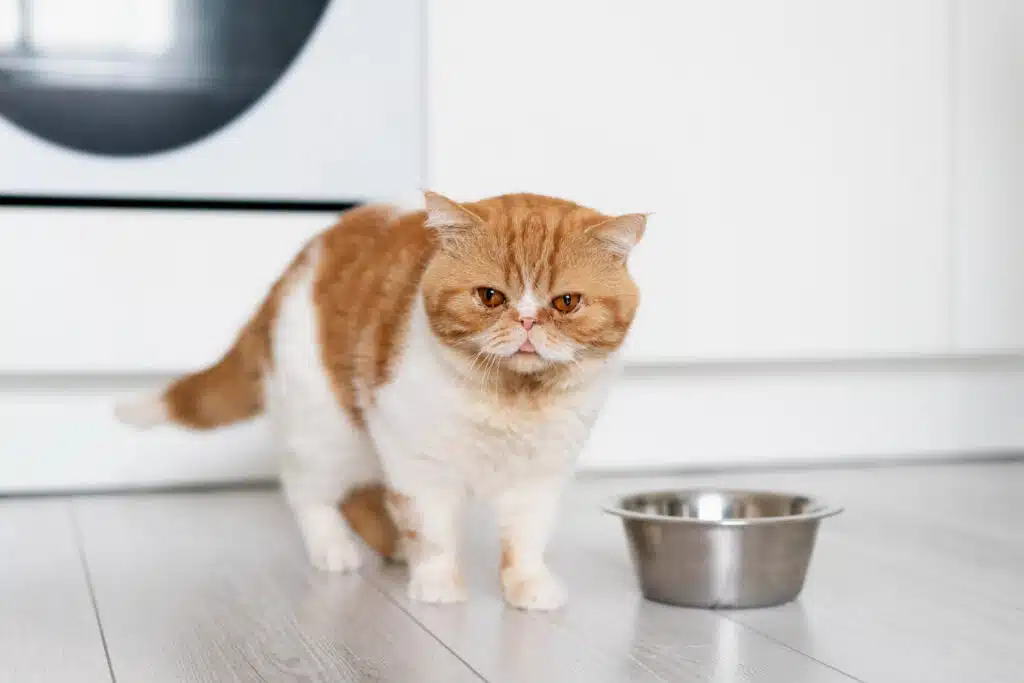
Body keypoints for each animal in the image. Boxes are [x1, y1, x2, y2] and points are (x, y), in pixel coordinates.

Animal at [116, 189, 643, 610]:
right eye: (490, 296)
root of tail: (299, 261)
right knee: (308, 490)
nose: (528, 323)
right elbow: (431, 528)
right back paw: (335, 549)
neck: (511, 397)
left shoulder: (539, 475)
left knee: (361, 496)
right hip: (330, 431)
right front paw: (437, 583)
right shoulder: (418, 462)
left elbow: (525, 539)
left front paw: (528, 587)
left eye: (566, 303)